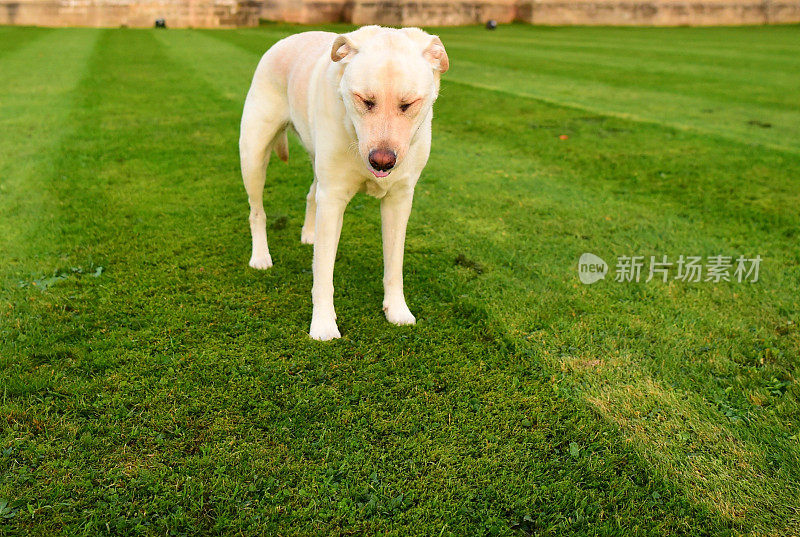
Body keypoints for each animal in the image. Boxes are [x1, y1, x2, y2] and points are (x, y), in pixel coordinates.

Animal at [238, 25, 450, 340]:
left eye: (408, 105)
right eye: (365, 100)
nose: (382, 162)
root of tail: (287, 39)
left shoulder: (399, 200)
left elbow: (394, 264)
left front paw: (397, 310)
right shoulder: (334, 199)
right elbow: (323, 273)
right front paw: (324, 324)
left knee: (311, 193)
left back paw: (309, 234)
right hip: (253, 155)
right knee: (257, 211)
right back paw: (261, 256)